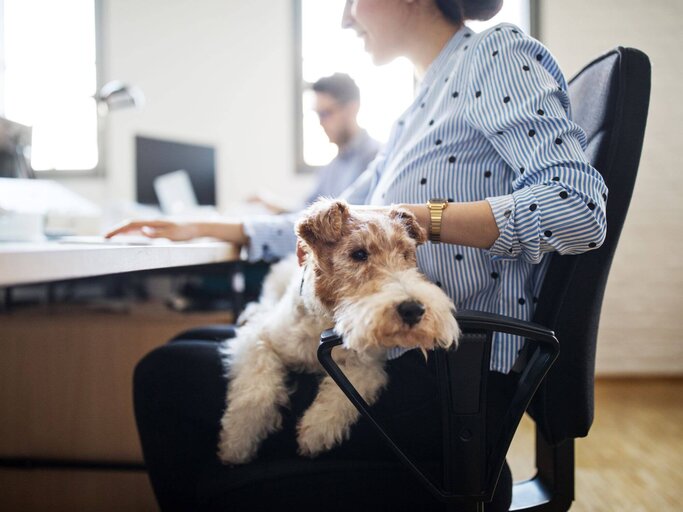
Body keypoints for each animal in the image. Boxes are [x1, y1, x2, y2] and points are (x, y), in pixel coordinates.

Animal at [218, 198, 460, 462]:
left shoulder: (366, 366)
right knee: (263, 303)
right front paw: (236, 443)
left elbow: (345, 394)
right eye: (359, 254)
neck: (325, 321)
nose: (414, 310)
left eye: (406, 254)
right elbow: (256, 393)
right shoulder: (258, 340)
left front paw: (315, 431)